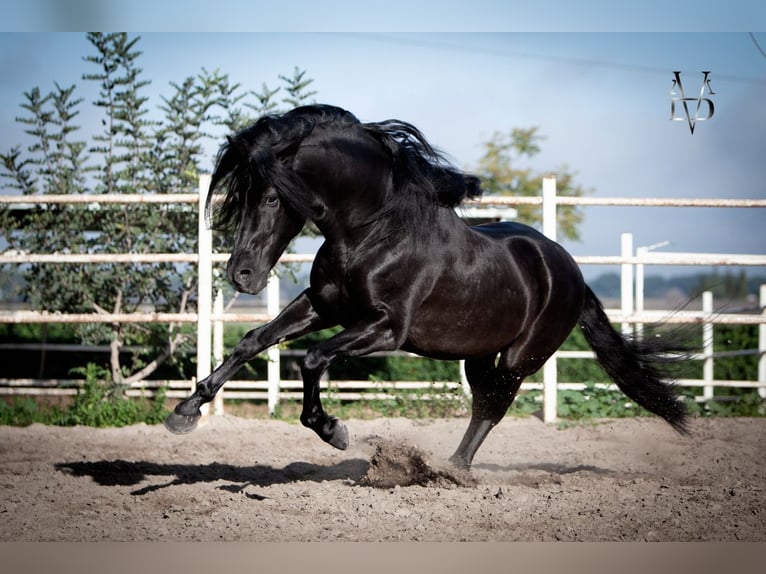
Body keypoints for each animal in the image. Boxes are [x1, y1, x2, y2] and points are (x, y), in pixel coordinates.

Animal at [166, 106, 688, 470]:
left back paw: (452, 471)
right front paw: (185, 411)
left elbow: (313, 359)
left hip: (522, 357)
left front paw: (333, 429)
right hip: (478, 353)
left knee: (496, 405)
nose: (241, 275)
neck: (374, 230)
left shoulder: (386, 327)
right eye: (242, 194)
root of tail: (572, 273)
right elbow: (254, 340)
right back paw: (451, 466)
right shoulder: (323, 306)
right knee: (483, 401)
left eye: (274, 197)